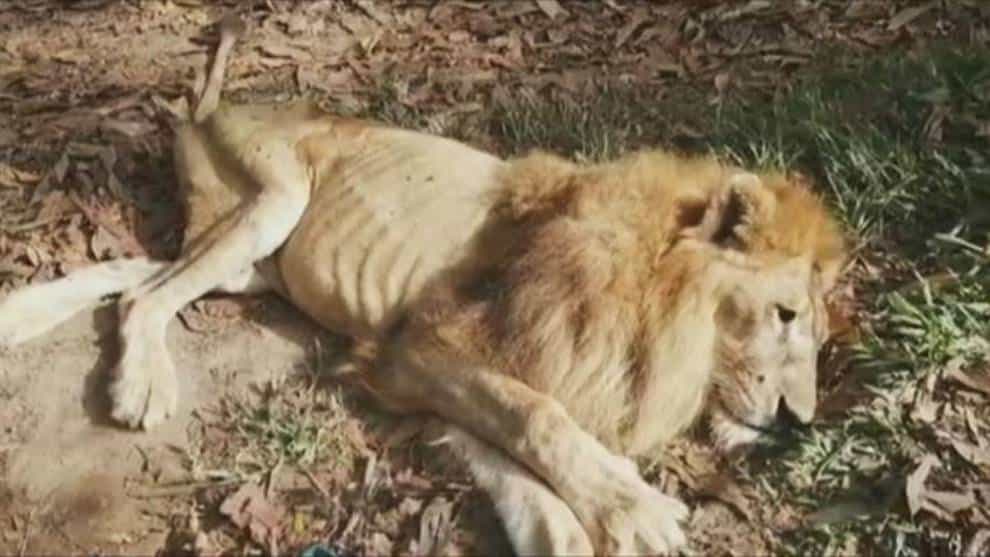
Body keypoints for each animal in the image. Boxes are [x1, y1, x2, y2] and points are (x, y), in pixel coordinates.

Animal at [0, 14, 846, 556]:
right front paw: (633, 507)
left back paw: (23, 315)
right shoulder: (429, 342)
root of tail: (212, 109)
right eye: (785, 314)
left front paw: (568, 528)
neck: (660, 303)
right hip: (278, 196)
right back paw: (141, 384)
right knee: (146, 295)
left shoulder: (419, 364)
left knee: (135, 279)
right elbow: (538, 419)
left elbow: (513, 448)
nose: (799, 422)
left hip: (246, 263)